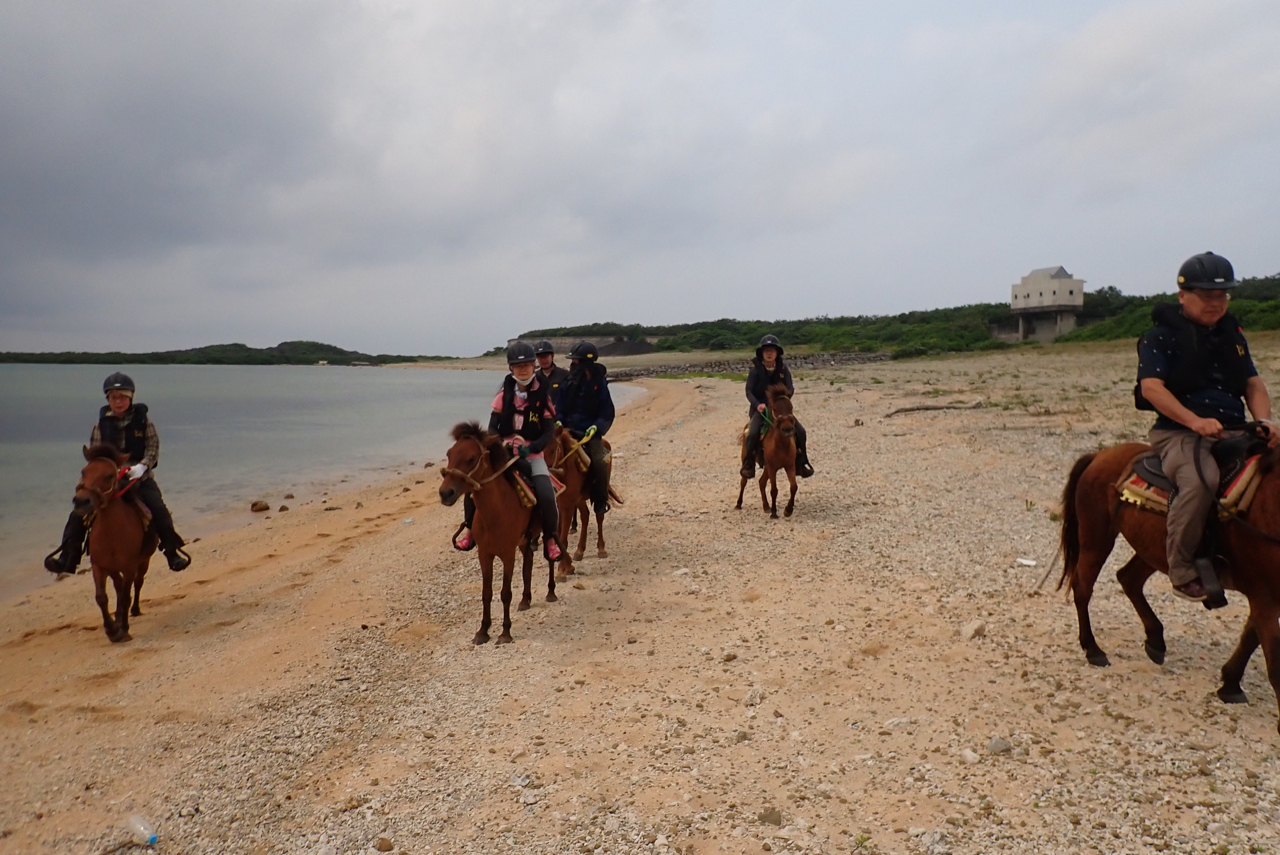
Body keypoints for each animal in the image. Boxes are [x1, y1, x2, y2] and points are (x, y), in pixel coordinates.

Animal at [440, 419, 555, 639]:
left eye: (471, 458)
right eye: (449, 454)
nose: (445, 493)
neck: (496, 514)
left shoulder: (508, 554)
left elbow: (505, 593)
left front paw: (505, 632)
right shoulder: (485, 554)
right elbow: (486, 593)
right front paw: (483, 631)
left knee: (552, 556)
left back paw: (551, 591)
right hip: (525, 541)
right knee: (528, 563)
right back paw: (525, 600)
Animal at [550, 427, 624, 581]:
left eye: (553, 450)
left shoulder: (567, 506)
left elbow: (563, 539)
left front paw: (561, 571)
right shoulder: (560, 505)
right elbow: (559, 535)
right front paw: (568, 567)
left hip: (599, 494)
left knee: (599, 516)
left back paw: (601, 549)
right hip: (579, 499)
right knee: (585, 515)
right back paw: (579, 551)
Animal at [737, 383, 793, 517]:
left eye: (791, 407)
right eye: (775, 409)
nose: (787, 429)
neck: (781, 445)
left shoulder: (789, 466)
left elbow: (794, 487)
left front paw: (788, 509)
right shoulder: (772, 468)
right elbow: (774, 490)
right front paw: (774, 513)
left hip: (767, 467)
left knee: (761, 482)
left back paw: (766, 506)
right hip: (747, 461)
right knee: (743, 481)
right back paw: (738, 504)